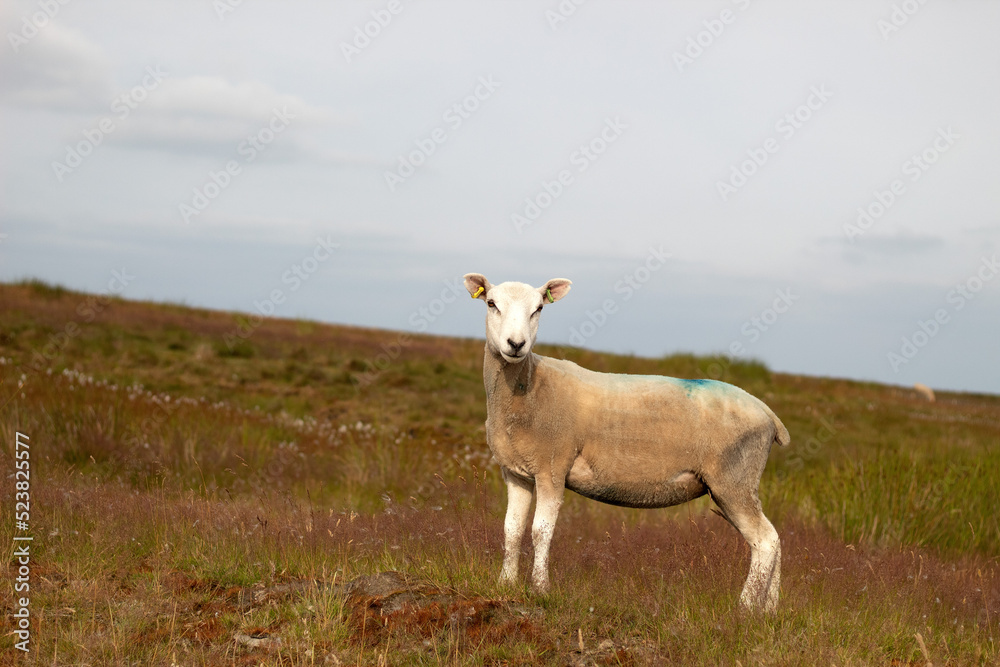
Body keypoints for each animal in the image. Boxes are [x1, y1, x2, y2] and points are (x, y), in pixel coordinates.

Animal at [464, 273, 791, 612]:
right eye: (491, 303)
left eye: (539, 308)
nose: (516, 345)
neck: (528, 387)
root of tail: (768, 414)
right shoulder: (517, 473)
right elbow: (512, 530)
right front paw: (505, 585)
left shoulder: (552, 467)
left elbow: (541, 531)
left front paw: (540, 589)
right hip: (739, 483)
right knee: (775, 538)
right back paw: (770, 609)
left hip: (734, 479)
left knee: (765, 540)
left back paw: (745, 607)